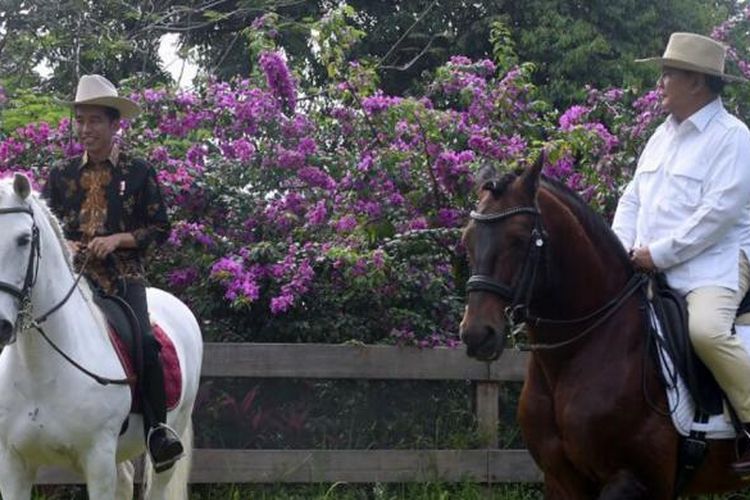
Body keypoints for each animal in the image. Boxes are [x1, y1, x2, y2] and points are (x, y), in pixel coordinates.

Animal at [0, 174, 203, 498]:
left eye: (24, 240)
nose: (0, 325)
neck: (40, 370)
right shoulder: (12, 466)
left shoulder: (98, 462)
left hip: (167, 447)